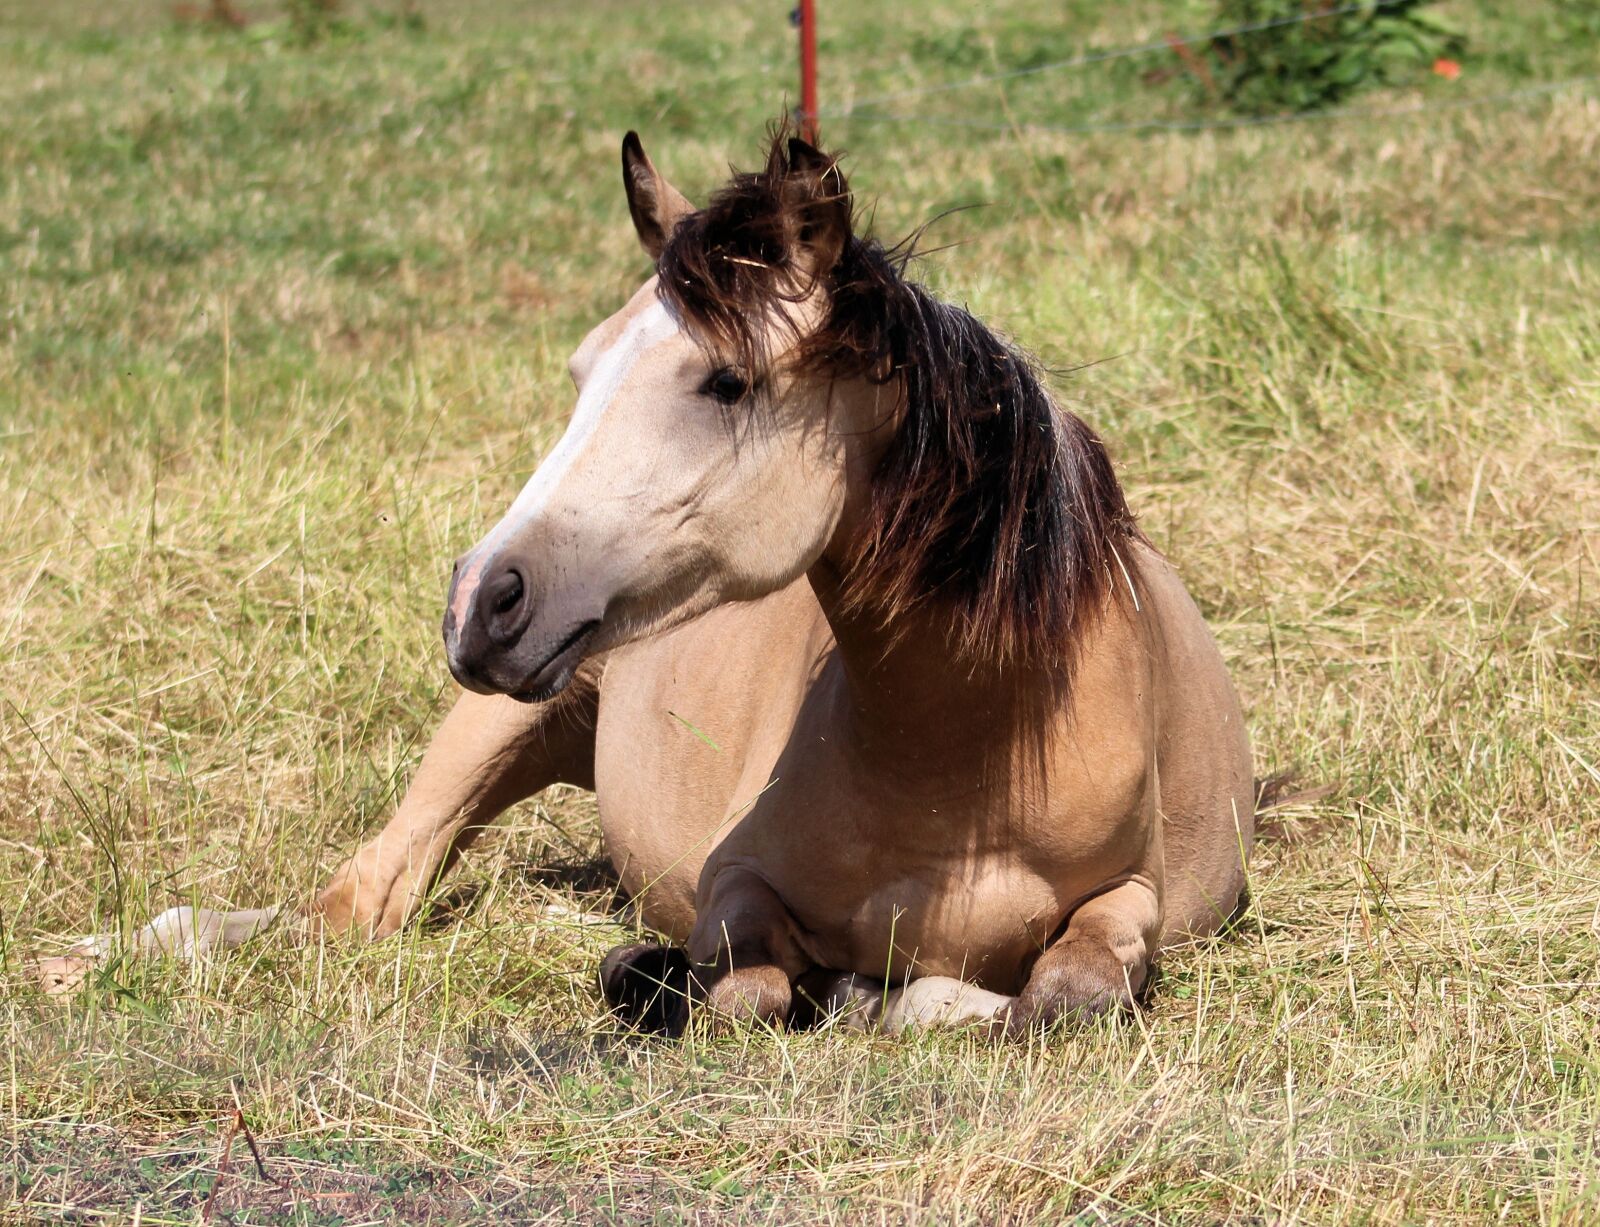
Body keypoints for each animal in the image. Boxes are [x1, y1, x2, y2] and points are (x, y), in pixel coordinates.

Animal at [37, 126, 1254, 1035]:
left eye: (725, 381)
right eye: (581, 370)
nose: (481, 599)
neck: (966, 752)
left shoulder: (1133, 903)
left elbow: (1065, 990)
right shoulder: (731, 889)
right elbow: (748, 987)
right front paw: (686, 978)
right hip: (491, 730)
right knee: (359, 902)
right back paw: (107, 953)